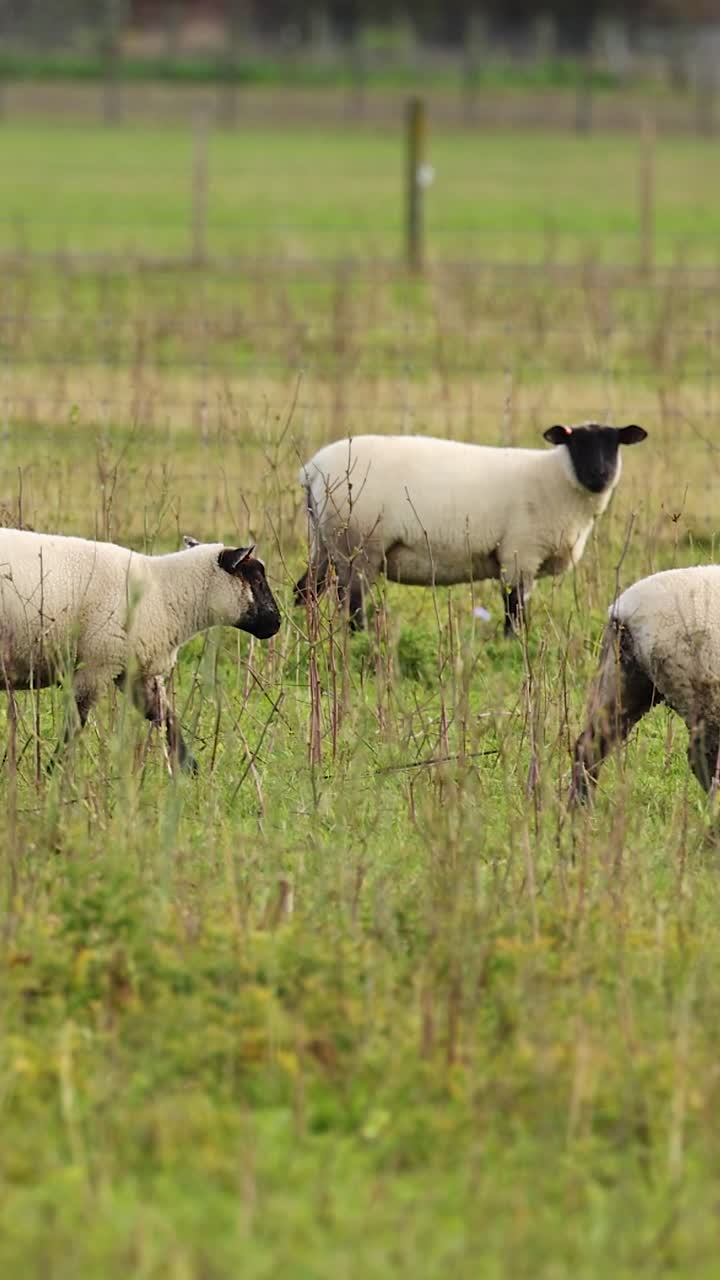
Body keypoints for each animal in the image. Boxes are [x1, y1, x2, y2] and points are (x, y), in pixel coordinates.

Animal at [0, 529, 281, 773]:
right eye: (256, 580)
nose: (276, 623)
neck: (165, 593)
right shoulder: (97, 665)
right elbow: (74, 724)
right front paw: (52, 773)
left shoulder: (136, 673)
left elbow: (166, 718)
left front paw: (192, 773)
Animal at [294, 423, 647, 633]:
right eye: (578, 444)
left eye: (614, 444)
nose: (600, 475)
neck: (557, 480)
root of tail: (313, 469)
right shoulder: (520, 552)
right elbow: (513, 606)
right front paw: (513, 643)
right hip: (358, 544)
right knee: (351, 600)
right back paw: (359, 637)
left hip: (324, 542)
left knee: (306, 590)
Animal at [572, 566, 720, 799]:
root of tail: (622, 610)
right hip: (701, 688)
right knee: (703, 758)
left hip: (624, 678)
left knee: (590, 745)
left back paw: (578, 807)